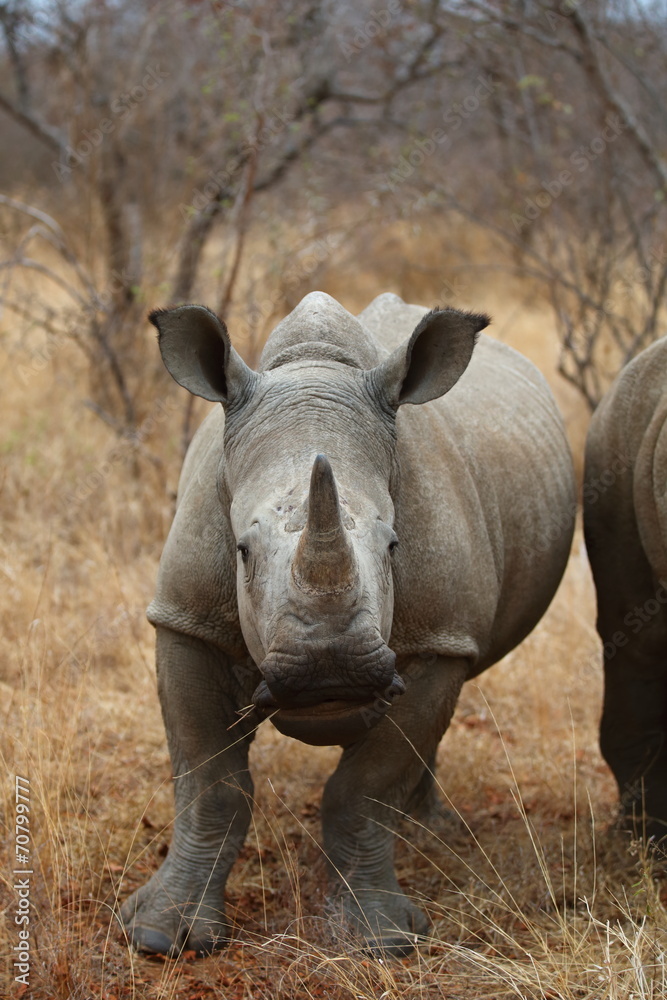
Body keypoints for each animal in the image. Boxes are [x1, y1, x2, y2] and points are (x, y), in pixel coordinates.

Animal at [120, 291, 575, 956]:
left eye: (393, 546)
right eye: (241, 552)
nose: (328, 670)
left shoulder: (439, 641)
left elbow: (365, 787)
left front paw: (379, 940)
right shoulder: (186, 619)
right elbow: (210, 781)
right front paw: (161, 936)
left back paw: (424, 831)